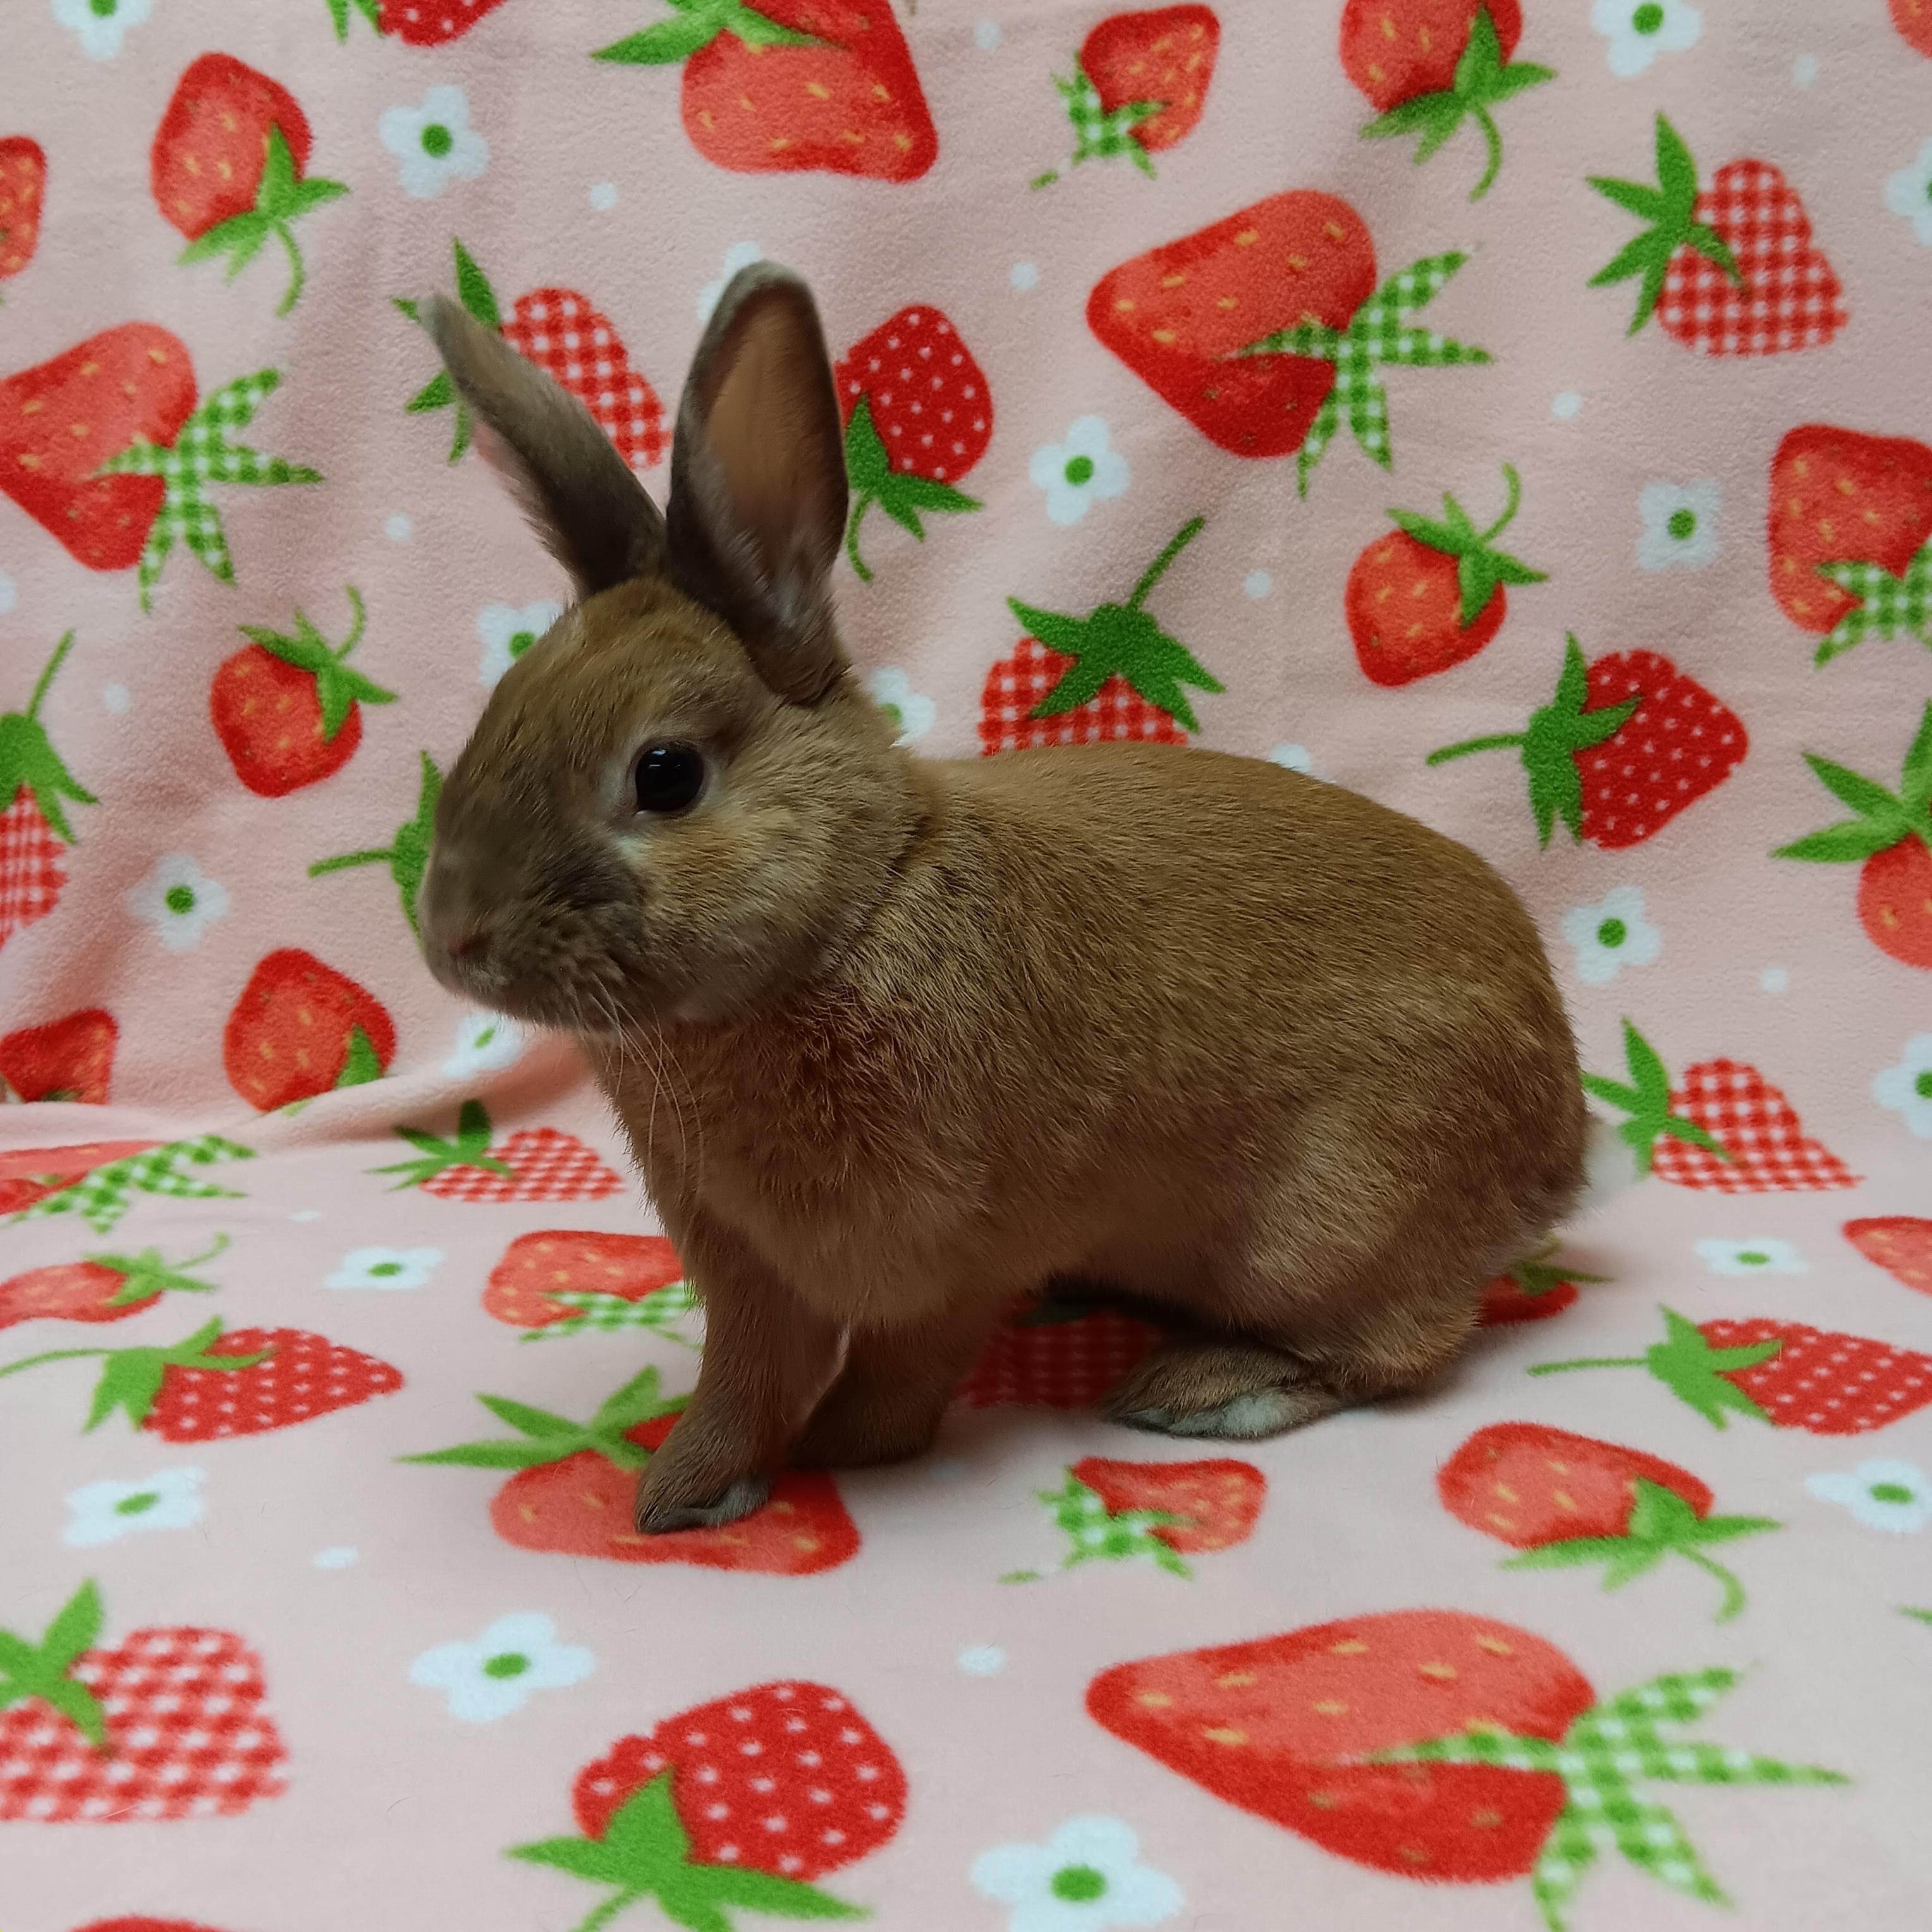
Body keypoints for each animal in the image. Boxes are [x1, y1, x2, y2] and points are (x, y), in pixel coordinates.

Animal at [415, 261, 1591, 1536]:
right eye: (495, 717)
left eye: (666, 774)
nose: (453, 941)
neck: (851, 915)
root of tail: (1560, 1143)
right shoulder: (747, 1261)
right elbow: (744, 1372)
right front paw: (684, 1493)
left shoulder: (956, 1255)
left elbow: (900, 1364)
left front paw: (844, 1453)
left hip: (1335, 1220)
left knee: (1402, 1347)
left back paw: (1205, 1389)